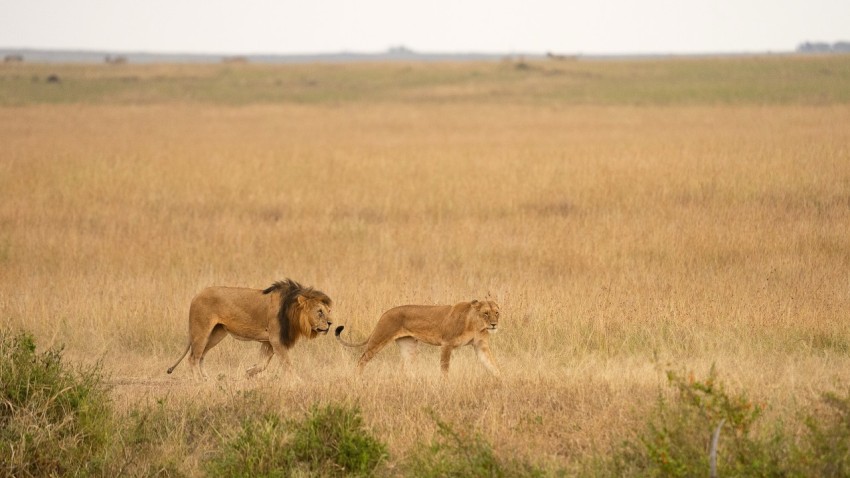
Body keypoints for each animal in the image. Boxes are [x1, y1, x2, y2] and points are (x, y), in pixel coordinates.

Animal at [167, 278, 332, 380]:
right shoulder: (276, 339)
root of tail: (196, 295)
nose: (330, 323)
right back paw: (198, 380)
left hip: (216, 334)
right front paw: (297, 381)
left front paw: (248, 372)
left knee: (201, 356)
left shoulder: (268, 342)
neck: (292, 312)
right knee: (193, 358)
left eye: (329, 311)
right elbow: (287, 363)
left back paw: (206, 378)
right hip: (201, 332)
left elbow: (263, 364)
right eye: (319, 312)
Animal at [334, 298, 500, 378]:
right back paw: (357, 379)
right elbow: (444, 368)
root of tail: (385, 313)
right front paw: (445, 384)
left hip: (408, 346)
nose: (494, 324)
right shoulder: (447, 343)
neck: (476, 325)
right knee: (362, 359)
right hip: (379, 338)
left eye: (497, 313)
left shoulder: (480, 346)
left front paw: (502, 381)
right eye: (486, 313)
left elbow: (492, 364)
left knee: (407, 367)